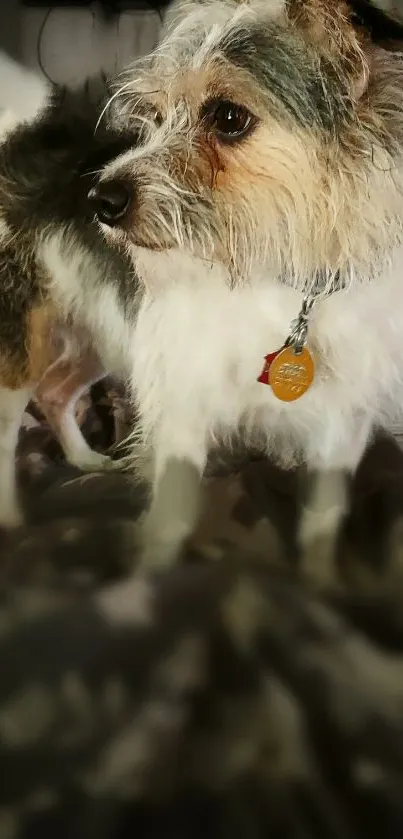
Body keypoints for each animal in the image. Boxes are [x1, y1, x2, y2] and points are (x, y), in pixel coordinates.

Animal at [82, 0, 403, 564]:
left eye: (228, 118)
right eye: (158, 117)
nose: (102, 200)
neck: (284, 282)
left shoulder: (344, 420)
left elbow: (324, 513)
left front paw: (319, 577)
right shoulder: (186, 402)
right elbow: (172, 513)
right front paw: (150, 572)